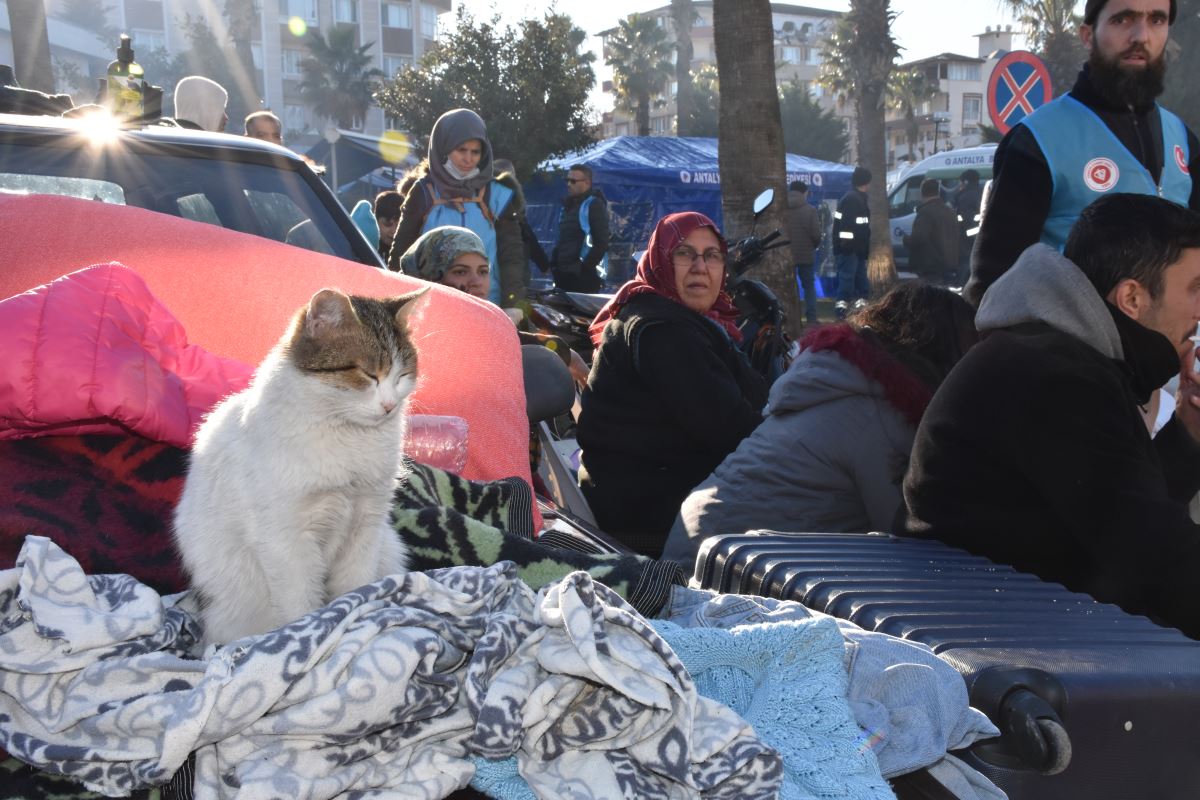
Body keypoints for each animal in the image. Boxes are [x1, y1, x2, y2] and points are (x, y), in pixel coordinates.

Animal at [174, 286, 427, 642]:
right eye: (368, 374)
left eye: (403, 374)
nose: (390, 405)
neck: (347, 435)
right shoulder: (286, 540)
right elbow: (299, 605)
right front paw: (305, 634)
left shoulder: (367, 523)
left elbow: (357, 586)